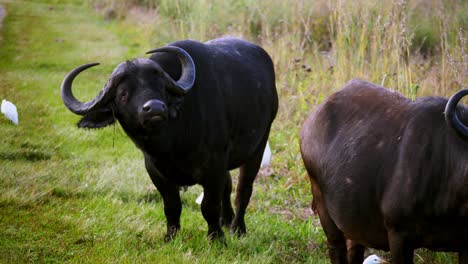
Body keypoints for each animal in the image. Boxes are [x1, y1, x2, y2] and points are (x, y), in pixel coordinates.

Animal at [59, 37, 276, 243]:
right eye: (123, 94)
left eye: (161, 88)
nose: (154, 108)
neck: (172, 144)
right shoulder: (156, 171)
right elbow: (172, 206)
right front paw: (171, 236)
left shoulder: (215, 166)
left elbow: (209, 206)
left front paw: (216, 238)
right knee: (229, 186)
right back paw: (227, 220)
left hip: (258, 146)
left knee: (243, 191)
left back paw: (237, 229)